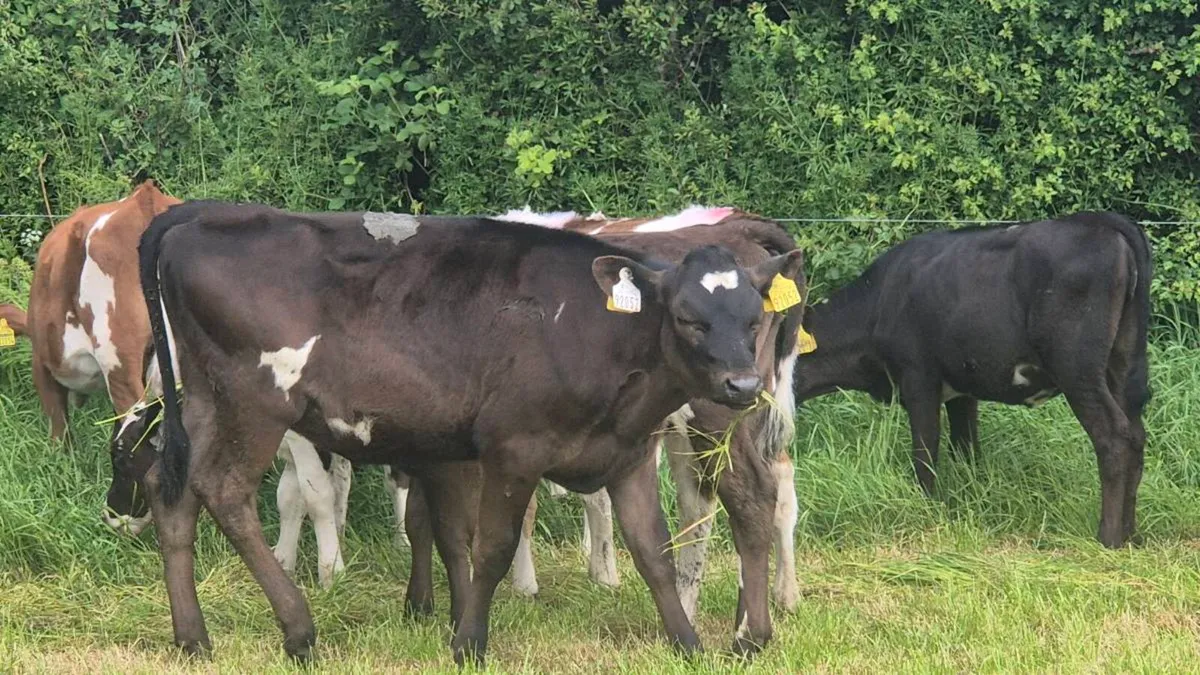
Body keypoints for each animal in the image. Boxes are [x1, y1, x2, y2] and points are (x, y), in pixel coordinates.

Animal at [132, 201, 805, 666]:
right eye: (688, 318)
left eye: (751, 319)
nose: (743, 384)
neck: (588, 328)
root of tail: (203, 213)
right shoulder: (512, 449)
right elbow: (490, 547)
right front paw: (469, 642)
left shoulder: (629, 453)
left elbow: (652, 553)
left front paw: (687, 643)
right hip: (254, 404)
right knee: (224, 491)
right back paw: (298, 629)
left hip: (204, 403)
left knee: (173, 493)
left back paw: (193, 638)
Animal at [791, 212, 1151, 549]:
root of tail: (1098, 220)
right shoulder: (963, 390)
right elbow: (966, 450)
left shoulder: (918, 379)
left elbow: (926, 452)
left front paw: (926, 509)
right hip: (1122, 363)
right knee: (1136, 434)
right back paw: (1131, 535)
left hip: (1076, 367)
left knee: (1114, 436)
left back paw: (1108, 538)